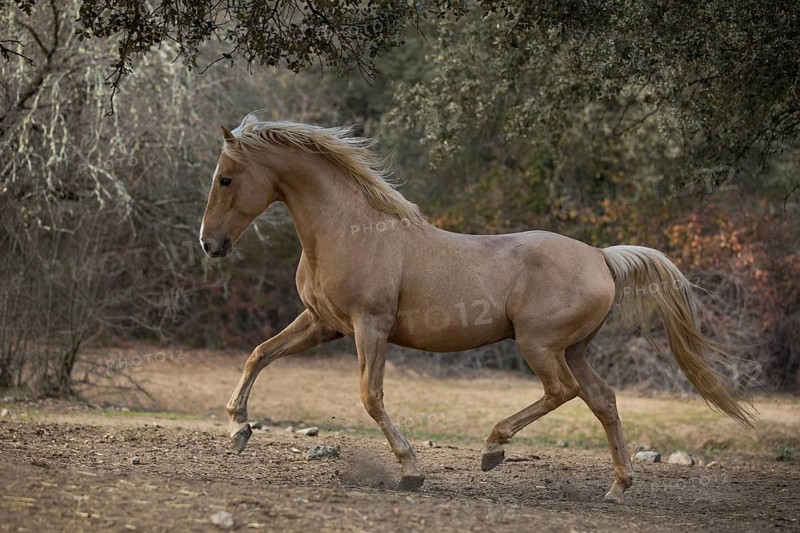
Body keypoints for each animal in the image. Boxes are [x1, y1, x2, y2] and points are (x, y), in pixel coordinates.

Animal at [199, 113, 754, 500]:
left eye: (226, 178)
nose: (209, 244)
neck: (350, 231)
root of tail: (601, 256)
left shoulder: (369, 327)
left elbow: (371, 397)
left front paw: (411, 471)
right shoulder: (323, 324)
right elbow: (259, 354)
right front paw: (238, 429)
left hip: (540, 344)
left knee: (564, 391)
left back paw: (493, 449)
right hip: (573, 349)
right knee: (604, 400)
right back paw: (617, 487)